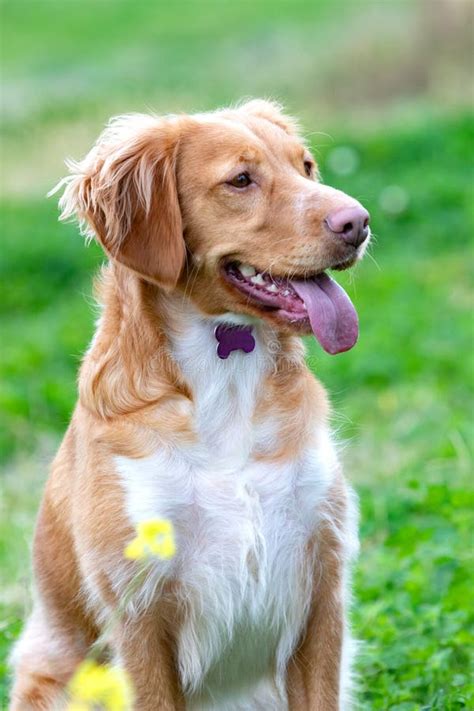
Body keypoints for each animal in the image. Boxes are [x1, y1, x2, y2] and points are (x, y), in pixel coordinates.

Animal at [8, 101, 370, 711]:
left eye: (306, 166)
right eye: (241, 180)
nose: (359, 222)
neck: (226, 378)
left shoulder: (320, 584)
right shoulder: (139, 613)